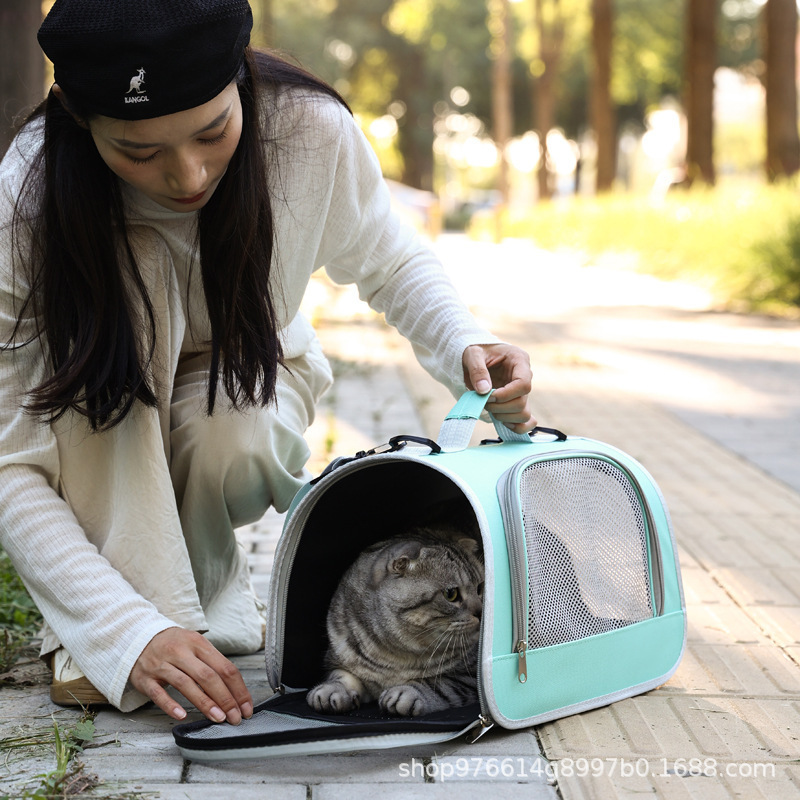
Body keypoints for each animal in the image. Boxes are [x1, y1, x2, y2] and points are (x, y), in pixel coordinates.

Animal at [306, 516, 484, 718]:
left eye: (480, 588)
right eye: (451, 594)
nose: (481, 611)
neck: (395, 656)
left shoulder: (469, 676)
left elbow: (437, 684)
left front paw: (406, 693)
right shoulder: (338, 658)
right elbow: (341, 675)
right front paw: (331, 690)